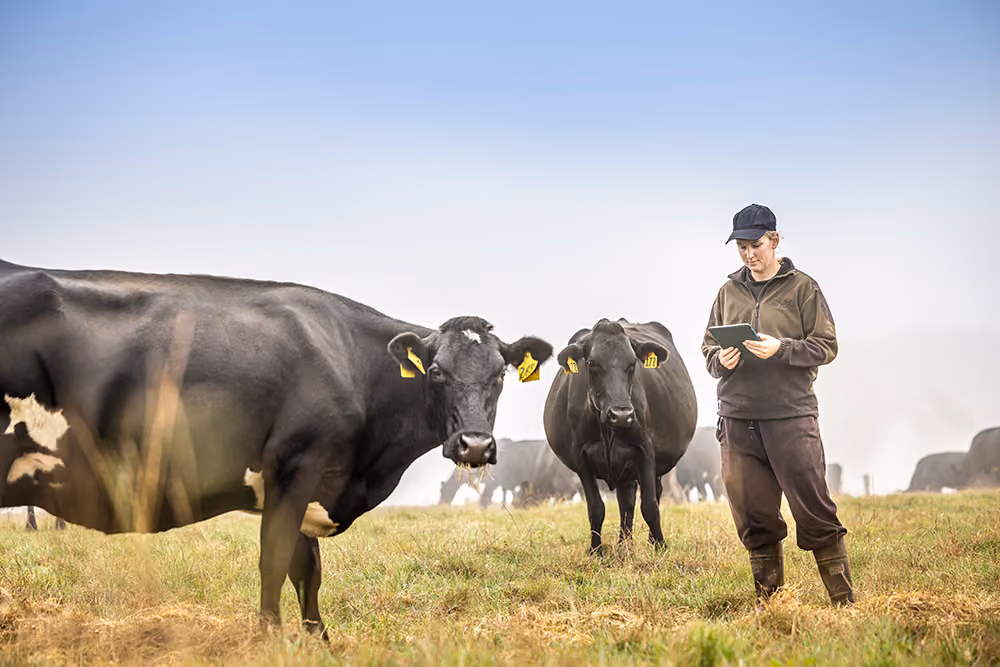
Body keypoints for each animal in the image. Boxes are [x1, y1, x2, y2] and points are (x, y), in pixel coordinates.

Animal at [0, 258, 552, 636]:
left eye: (500, 374)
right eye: (435, 372)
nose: (475, 445)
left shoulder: (310, 487)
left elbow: (307, 574)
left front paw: (318, 642)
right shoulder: (295, 466)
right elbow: (274, 562)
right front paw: (271, 637)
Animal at [544, 319, 697, 553]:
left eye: (632, 363)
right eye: (592, 363)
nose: (621, 414)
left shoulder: (645, 452)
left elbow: (650, 505)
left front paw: (661, 547)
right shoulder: (582, 459)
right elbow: (596, 508)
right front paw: (596, 551)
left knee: (651, 494)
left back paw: (647, 542)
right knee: (627, 501)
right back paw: (625, 545)